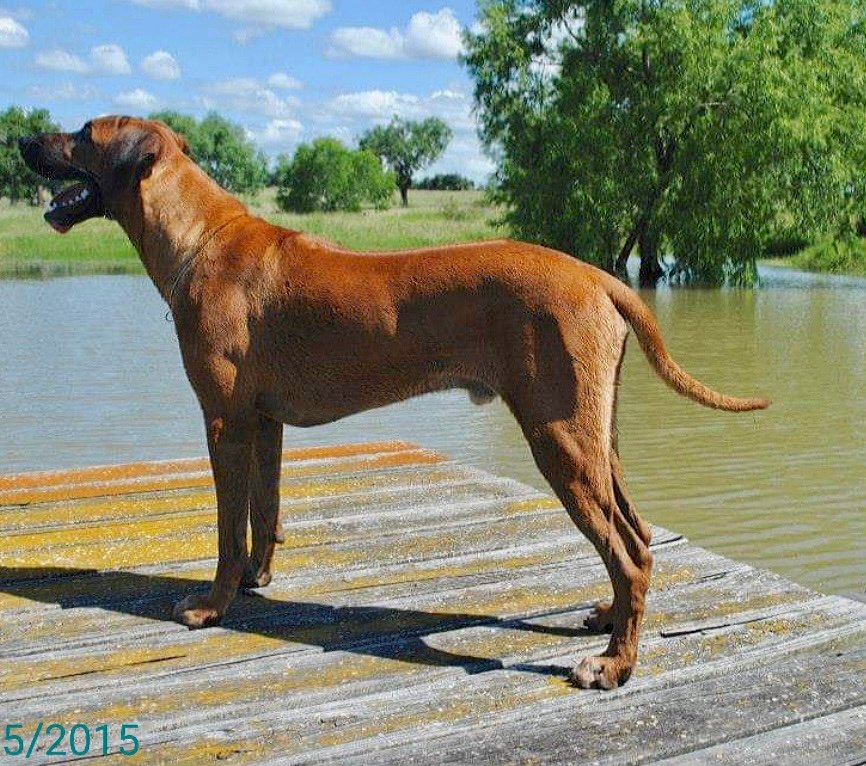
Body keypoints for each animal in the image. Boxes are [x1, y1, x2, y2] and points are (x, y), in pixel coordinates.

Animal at [16, 117, 768, 692]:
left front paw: (212, 605)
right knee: (635, 537)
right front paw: (259, 579)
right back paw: (608, 623)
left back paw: (612, 666)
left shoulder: (225, 420)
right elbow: (265, 512)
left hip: (559, 438)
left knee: (631, 555)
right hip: (594, 434)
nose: (22, 139)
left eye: (82, 134)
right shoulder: (264, 422)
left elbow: (228, 530)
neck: (201, 238)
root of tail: (600, 276)